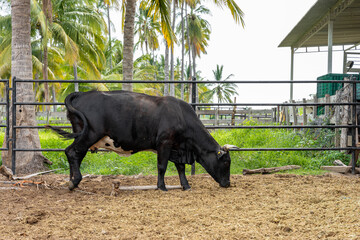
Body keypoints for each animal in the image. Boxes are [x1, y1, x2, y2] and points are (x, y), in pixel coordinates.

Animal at [47, 90, 239, 191]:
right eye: (226, 162)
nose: (228, 183)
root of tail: (82, 93)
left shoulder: (177, 148)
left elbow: (180, 168)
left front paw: (185, 185)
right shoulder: (164, 143)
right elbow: (162, 166)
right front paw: (161, 187)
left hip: (83, 135)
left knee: (74, 154)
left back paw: (73, 181)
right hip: (89, 134)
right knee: (72, 152)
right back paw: (74, 182)